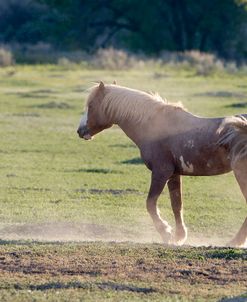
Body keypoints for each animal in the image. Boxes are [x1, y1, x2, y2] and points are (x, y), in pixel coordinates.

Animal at [77, 81, 247, 247]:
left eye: (91, 105)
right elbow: (176, 205)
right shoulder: (174, 174)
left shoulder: (161, 172)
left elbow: (150, 203)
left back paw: (235, 241)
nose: (80, 130)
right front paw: (179, 236)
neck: (154, 126)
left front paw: (165, 232)